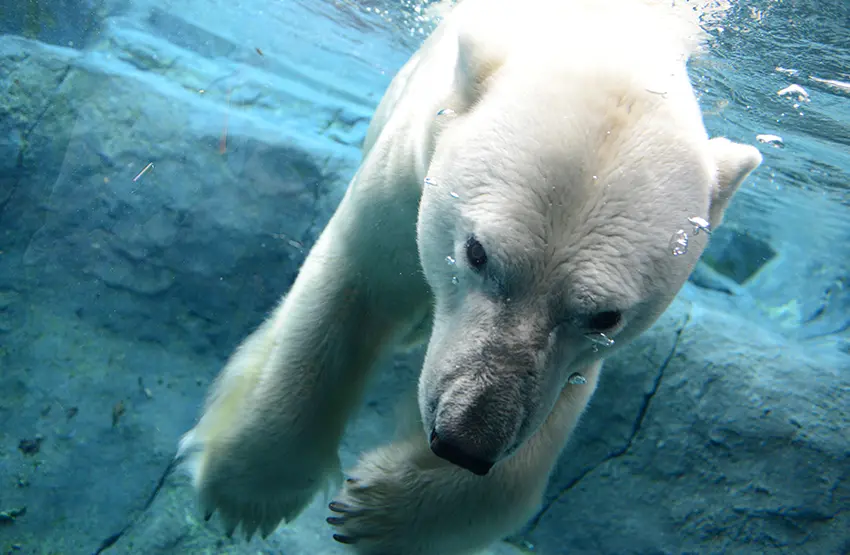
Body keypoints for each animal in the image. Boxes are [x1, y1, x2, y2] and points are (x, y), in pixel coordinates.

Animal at [176, 0, 760, 552]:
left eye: (605, 316)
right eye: (476, 253)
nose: (465, 441)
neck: (609, 30)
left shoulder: (580, 357)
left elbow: (549, 421)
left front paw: (380, 511)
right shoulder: (410, 166)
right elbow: (354, 290)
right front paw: (248, 488)